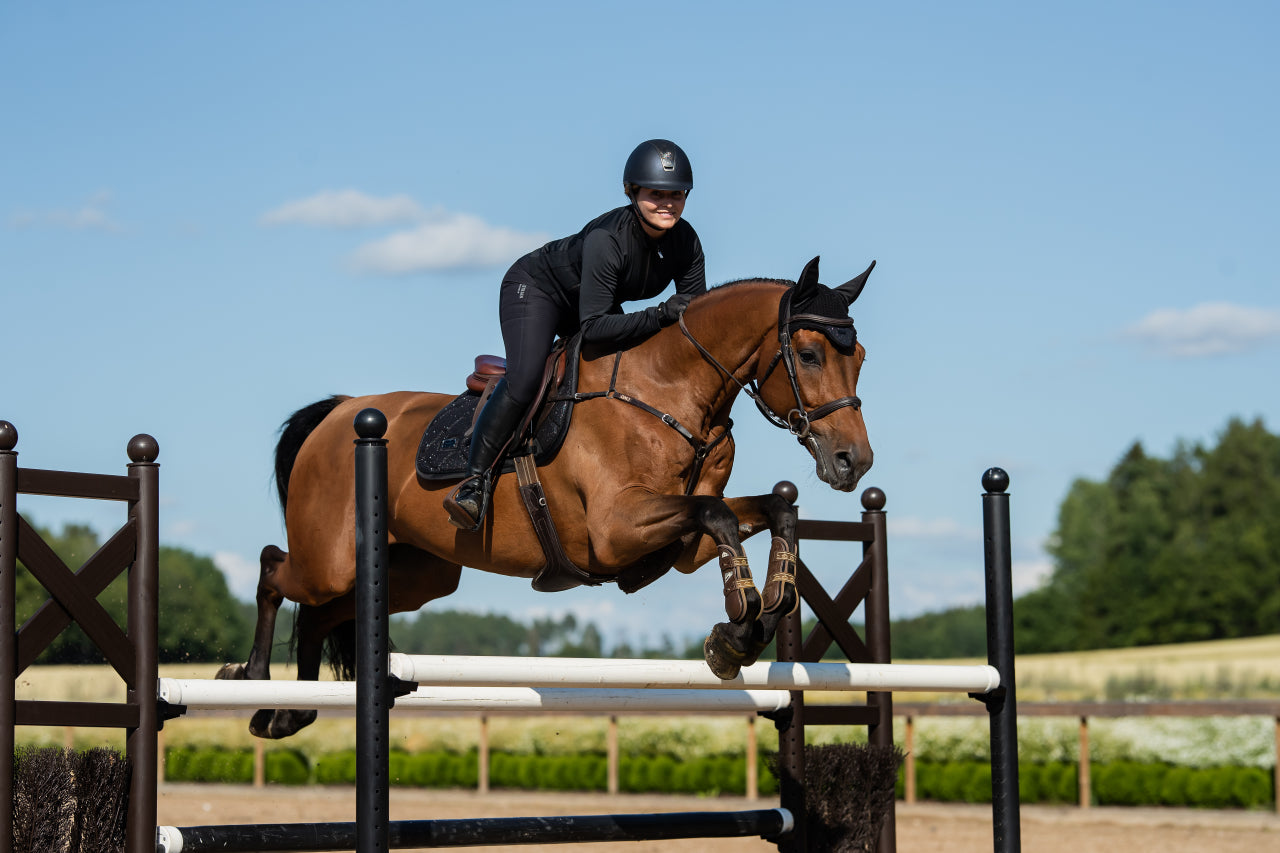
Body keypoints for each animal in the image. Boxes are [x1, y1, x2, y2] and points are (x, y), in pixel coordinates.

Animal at [222, 253, 880, 737]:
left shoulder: (679, 547)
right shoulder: (615, 531)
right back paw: (251, 679)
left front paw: (750, 623)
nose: (854, 462)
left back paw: (287, 712)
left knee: (320, 609)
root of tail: (341, 413)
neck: (668, 392)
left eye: (862, 358)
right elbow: (718, 514)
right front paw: (739, 622)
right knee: (275, 570)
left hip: (416, 574)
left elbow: (772, 509)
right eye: (808, 354)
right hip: (331, 558)